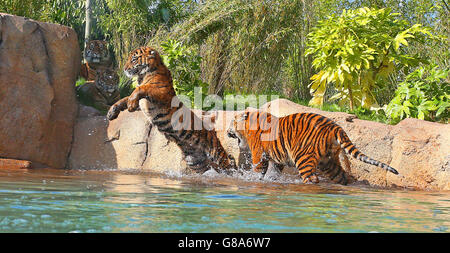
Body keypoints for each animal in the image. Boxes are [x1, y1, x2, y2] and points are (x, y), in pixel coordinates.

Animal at [107, 46, 237, 174]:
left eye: (133, 59)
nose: (124, 69)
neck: (142, 76)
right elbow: (124, 99)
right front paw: (112, 112)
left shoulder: (159, 92)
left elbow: (140, 89)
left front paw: (130, 105)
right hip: (195, 162)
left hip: (215, 151)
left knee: (227, 165)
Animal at [227, 109, 400, 185]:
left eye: (231, 122)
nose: (228, 132)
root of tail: (334, 127)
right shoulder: (277, 159)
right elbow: (274, 171)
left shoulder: (258, 154)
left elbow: (258, 170)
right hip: (328, 161)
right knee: (343, 176)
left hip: (303, 158)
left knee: (312, 178)